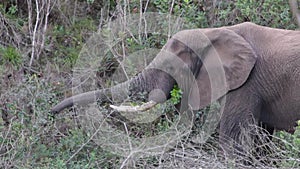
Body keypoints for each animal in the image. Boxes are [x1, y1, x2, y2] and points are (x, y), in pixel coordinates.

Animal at [51, 22, 300, 160]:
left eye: (173, 67)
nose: (51, 112)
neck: (214, 32)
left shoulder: (246, 83)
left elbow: (234, 140)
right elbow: (261, 143)